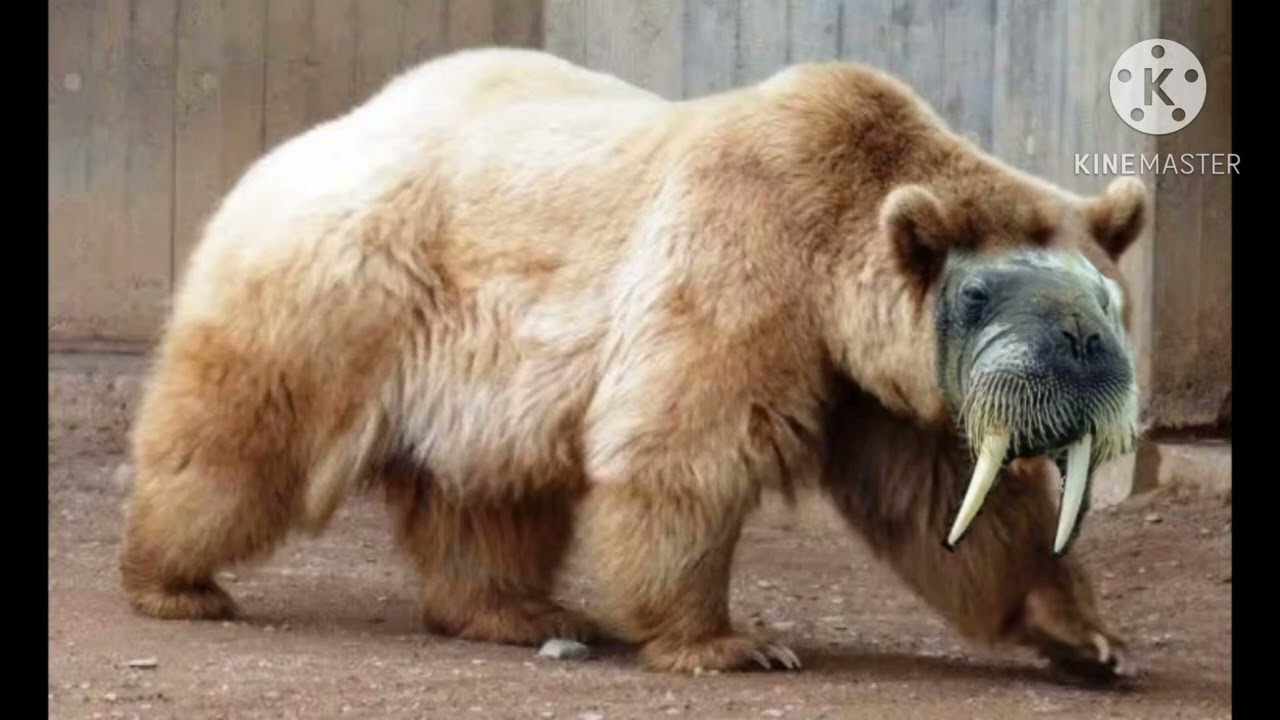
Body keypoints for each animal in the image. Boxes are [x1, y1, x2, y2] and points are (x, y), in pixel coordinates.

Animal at [118, 47, 1148, 680]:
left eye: (1105, 303)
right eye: (992, 299)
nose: (1086, 361)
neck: (831, 258)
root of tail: (301, 140)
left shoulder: (879, 382)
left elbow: (951, 505)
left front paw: (1089, 638)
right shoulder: (745, 263)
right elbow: (687, 449)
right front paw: (733, 642)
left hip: (481, 373)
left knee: (488, 494)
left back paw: (521, 610)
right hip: (345, 288)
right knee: (240, 435)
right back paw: (173, 579)